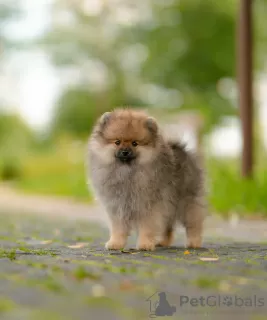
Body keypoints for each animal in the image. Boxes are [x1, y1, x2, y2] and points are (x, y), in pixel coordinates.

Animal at [88, 109, 207, 251]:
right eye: (117, 142)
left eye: (135, 143)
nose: (125, 151)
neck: (127, 171)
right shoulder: (117, 206)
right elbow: (118, 228)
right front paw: (115, 243)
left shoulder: (148, 206)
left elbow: (147, 227)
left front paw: (145, 244)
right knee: (168, 226)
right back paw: (163, 242)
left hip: (186, 201)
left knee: (194, 223)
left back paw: (193, 242)